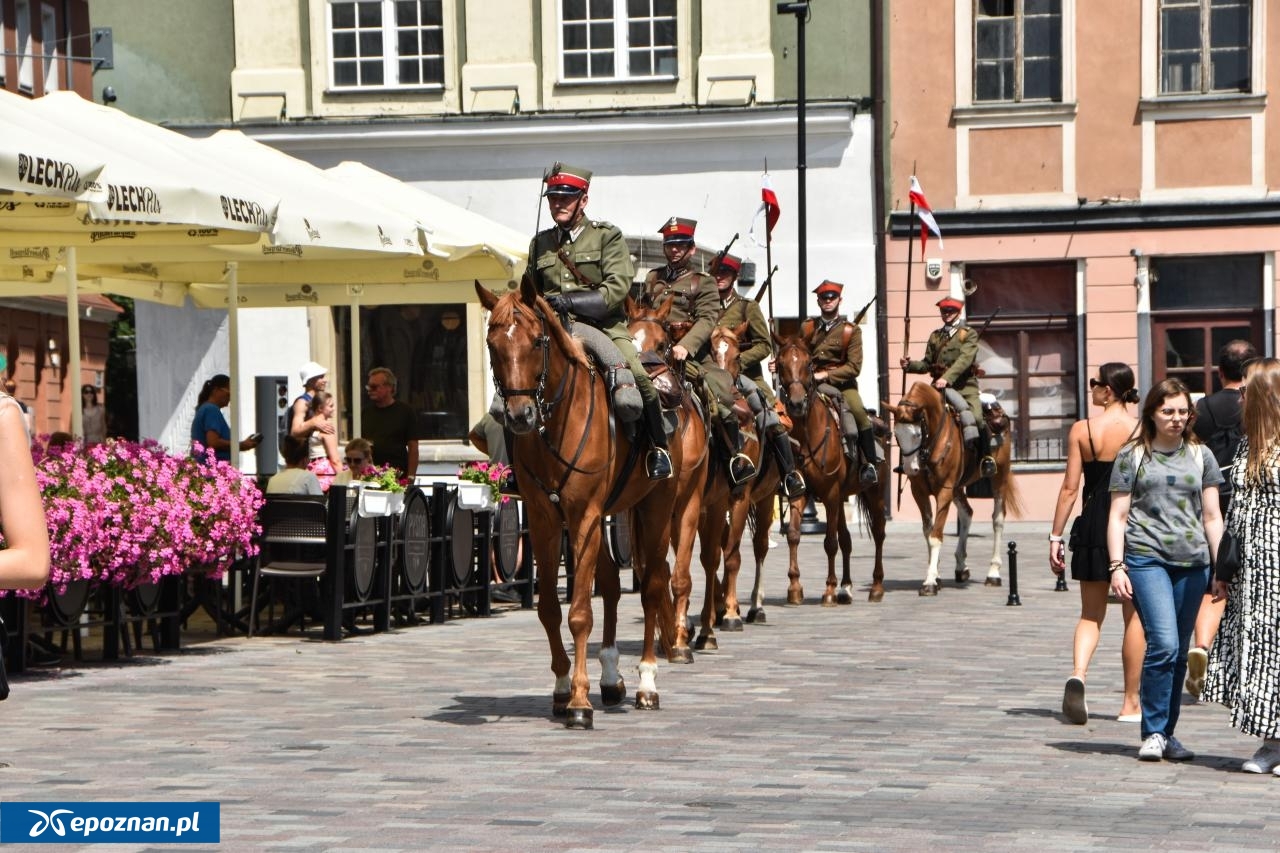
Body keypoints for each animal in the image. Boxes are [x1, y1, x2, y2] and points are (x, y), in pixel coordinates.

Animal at [478, 275, 680, 727]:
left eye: (537, 341)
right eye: (492, 343)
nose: (519, 415)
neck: (556, 424)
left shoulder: (584, 516)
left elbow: (581, 612)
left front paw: (580, 702)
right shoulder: (544, 519)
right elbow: (551, 610)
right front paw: (561, 688)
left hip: (658, 507)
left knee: (653, 586)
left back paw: (646, 683)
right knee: (611, 585)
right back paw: (612, 680)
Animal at [768, 333, 890, 604]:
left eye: (809, 364)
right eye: (780, 364)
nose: (796, 404)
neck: (807, 435)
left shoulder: (831, 493)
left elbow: (830, 542)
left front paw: (829, 590)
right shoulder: (800, 491)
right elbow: (794, 534)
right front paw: (795, 587)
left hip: (874, 492)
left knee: (878, 533)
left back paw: (876, 587)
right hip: (842, 496)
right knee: (846, 539)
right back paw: (846, 587)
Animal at [885, 381, 1024, 594]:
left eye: (917, 434)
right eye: (896, 435)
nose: (910, 468)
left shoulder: (944, 491)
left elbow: (936, 535)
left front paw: (930, 581)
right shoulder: (919, 492)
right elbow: (928, 532)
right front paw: (935, 575)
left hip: (999, 476)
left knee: (998, 520)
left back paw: (993, 573)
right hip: (958, 487)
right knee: (967, 513)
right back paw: (961, 567)